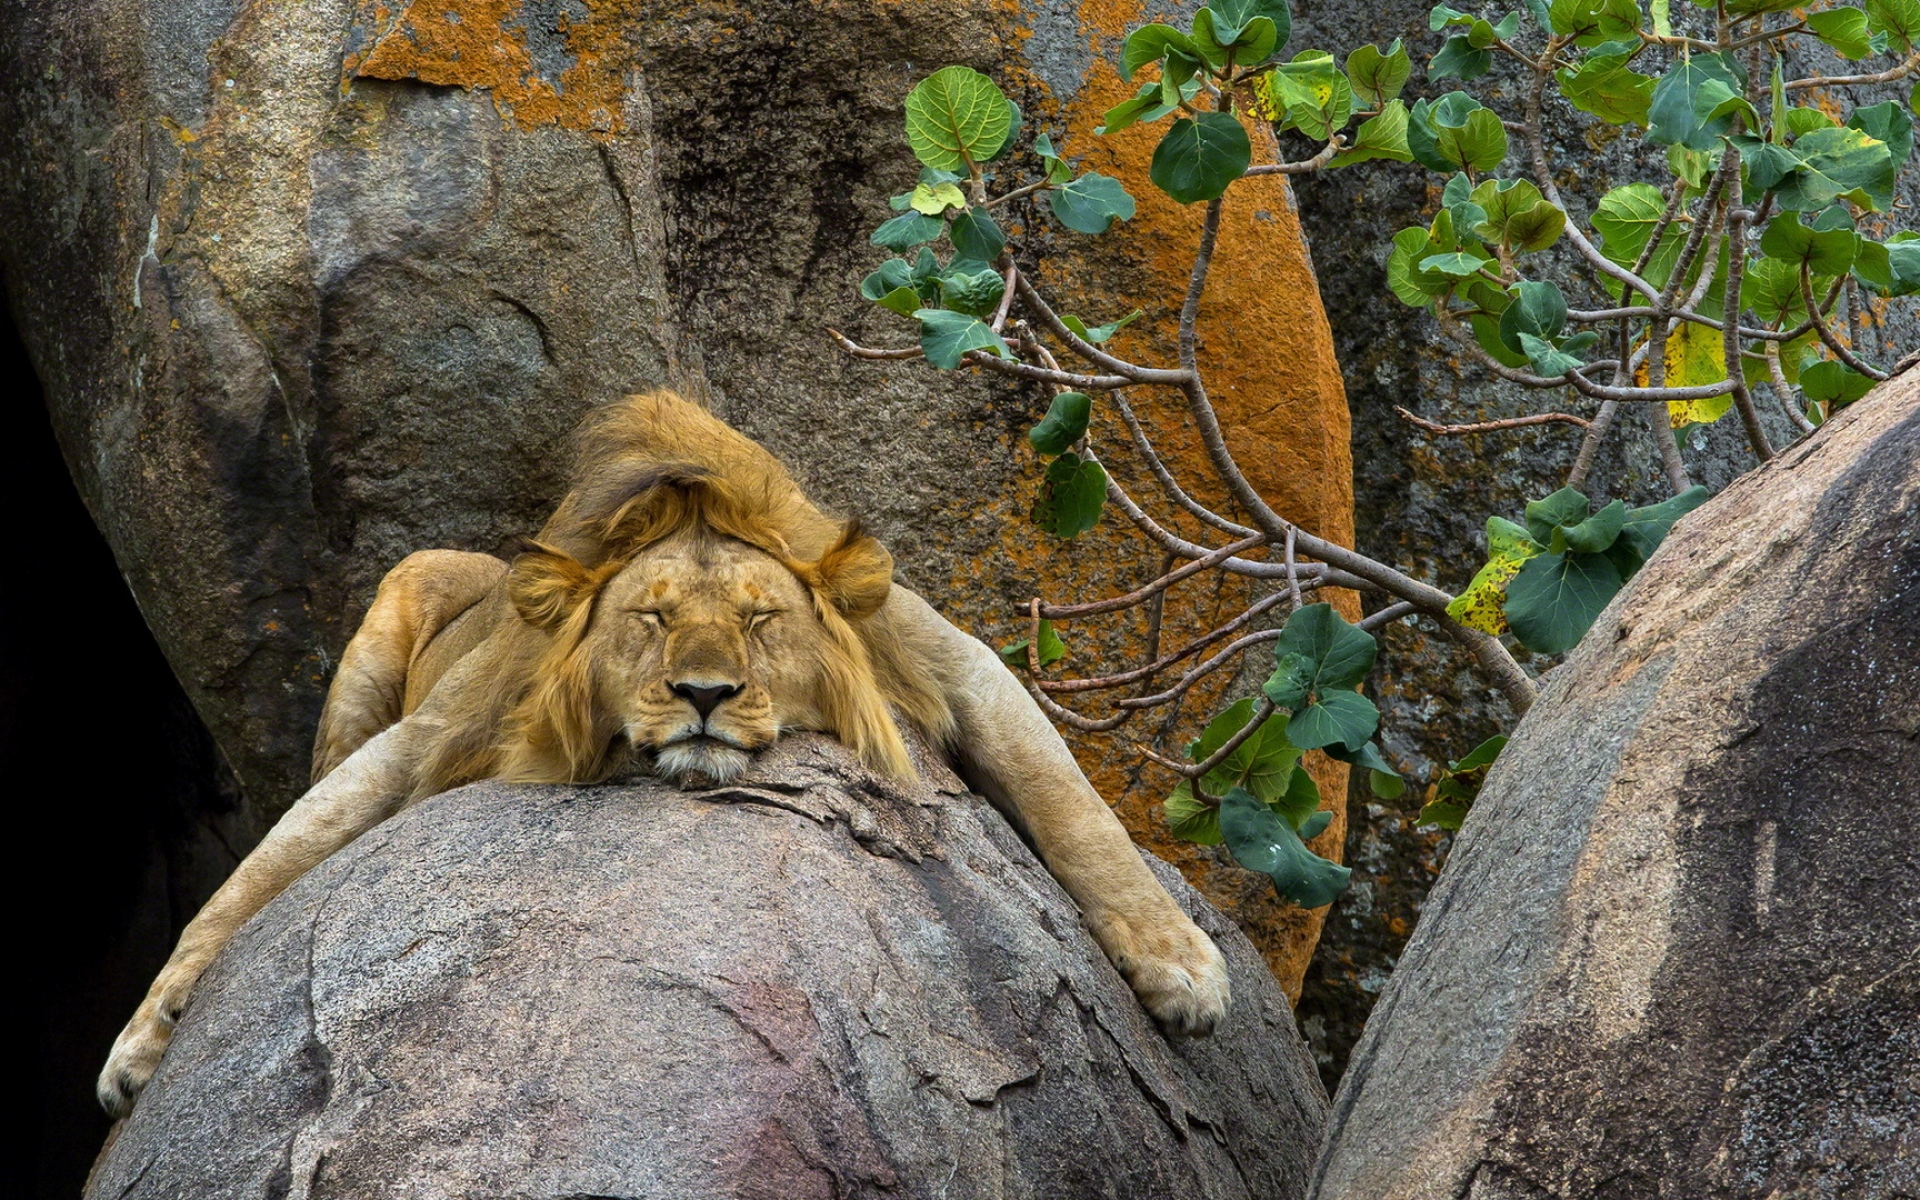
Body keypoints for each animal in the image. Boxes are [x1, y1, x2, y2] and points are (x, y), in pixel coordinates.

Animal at [98, 390, 1230, 1117]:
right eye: (650, 618)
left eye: (762, 619)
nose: (704, 696)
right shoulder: (421, 742)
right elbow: (254, 879)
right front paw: (143, 1040)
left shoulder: (956, 665)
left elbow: (1077, 810)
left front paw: (1180, 965)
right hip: (395, 601)